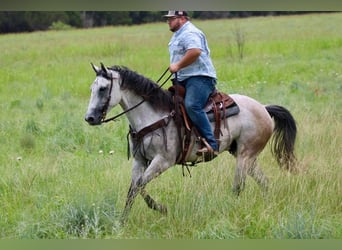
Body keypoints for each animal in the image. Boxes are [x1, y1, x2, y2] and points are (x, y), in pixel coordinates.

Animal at [84, 63, 296, 223]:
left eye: (103, 89)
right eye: (91, 89)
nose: (90, 118)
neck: (154, 116)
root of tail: (264, 108)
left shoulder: (163, 161)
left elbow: (141, 185)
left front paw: (161, 208)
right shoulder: (139, 161)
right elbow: (134, 188)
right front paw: (122, 221)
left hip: (244, 155)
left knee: (238, 186)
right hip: (246, 156)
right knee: (263, 182)